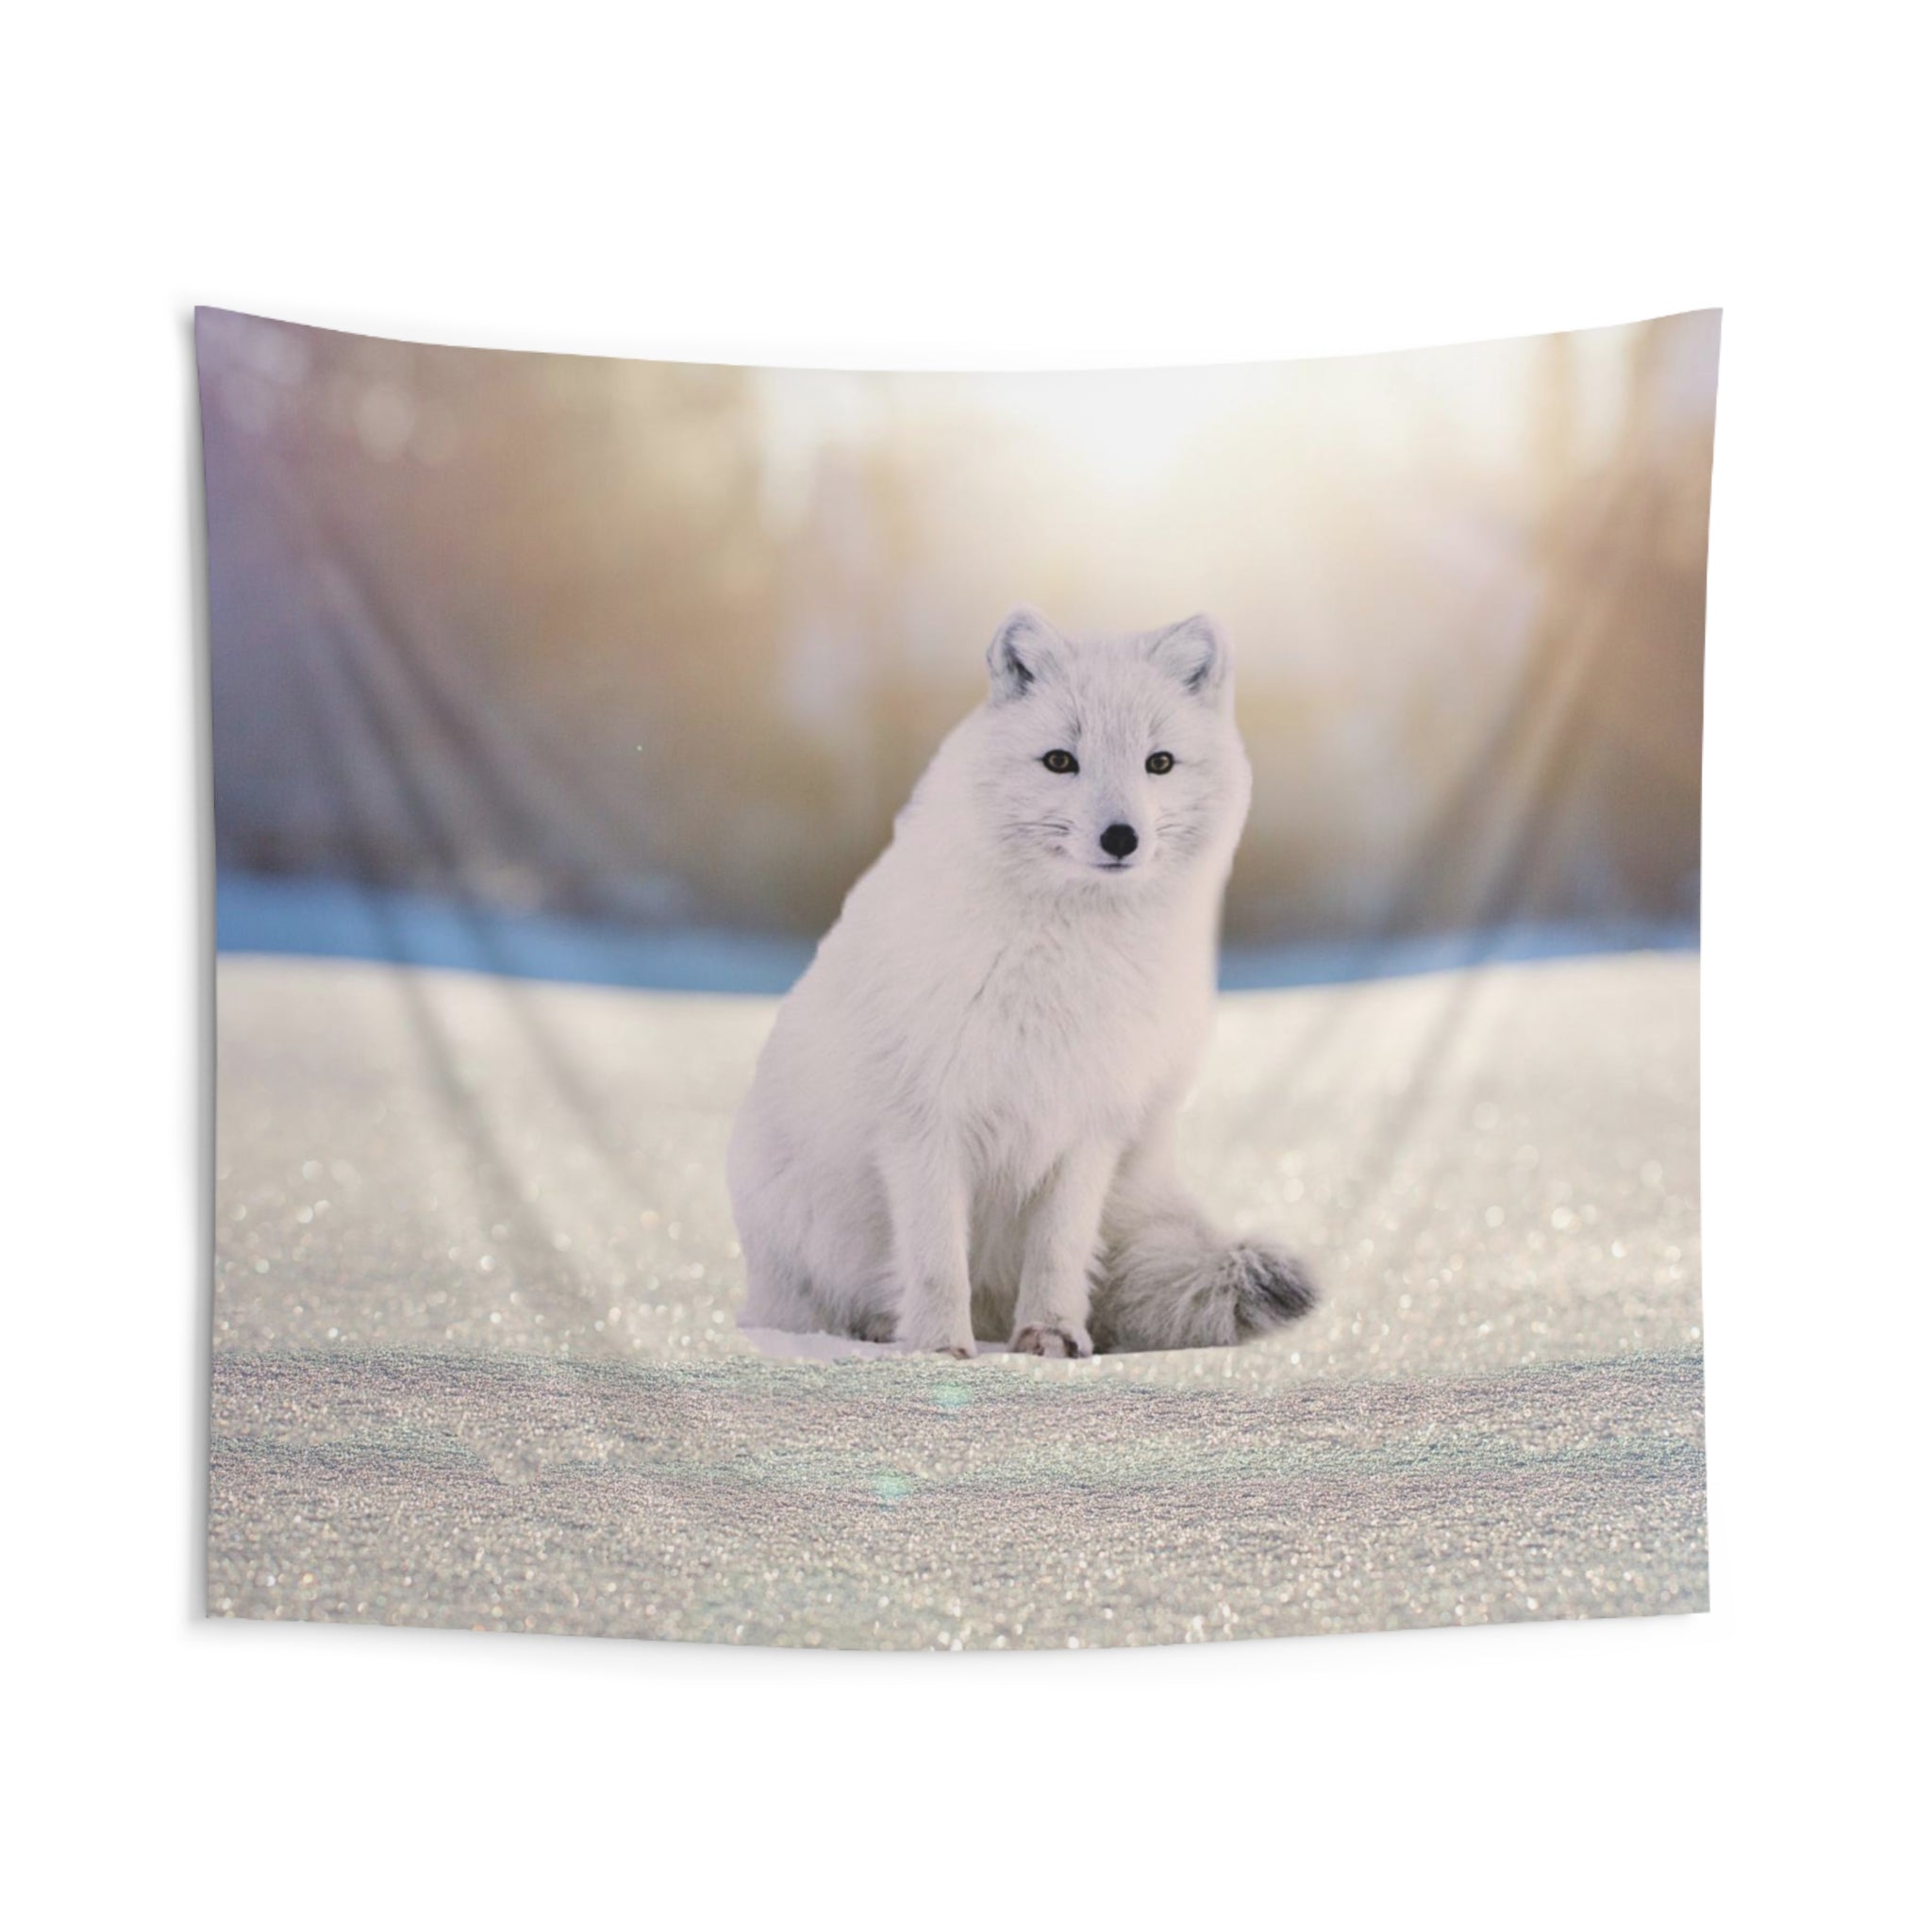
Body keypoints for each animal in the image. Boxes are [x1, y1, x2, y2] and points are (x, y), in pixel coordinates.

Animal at [727, 606, 1316, 1357]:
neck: (1062, 959)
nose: (1121, 837)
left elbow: (1059, 1247)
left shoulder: (1089, 1123)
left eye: (1158, 762)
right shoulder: (923, 1119)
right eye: (1061, 760)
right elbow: (934, 1255)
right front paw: (938, 1348)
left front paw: (1052, 1335)